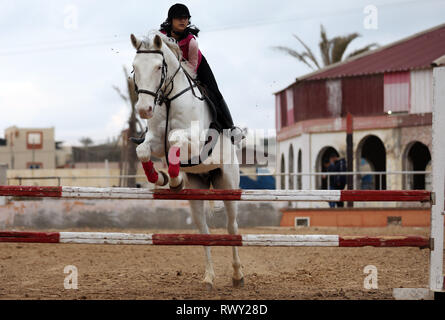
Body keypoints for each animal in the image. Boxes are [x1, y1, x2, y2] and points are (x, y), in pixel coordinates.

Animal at [130, 30, 243, 290]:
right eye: (134, 68)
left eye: (158, 66)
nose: (144, 110)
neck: (169, 99)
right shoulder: (154, 141)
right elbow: (144, 151)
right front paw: (162, 178)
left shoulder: (197, 142)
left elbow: (175, 140)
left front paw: (173, 180)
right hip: (198, 189)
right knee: (204, 232)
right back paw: (209, 278)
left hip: (228, 184)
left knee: (232, 227)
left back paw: (237, 275)